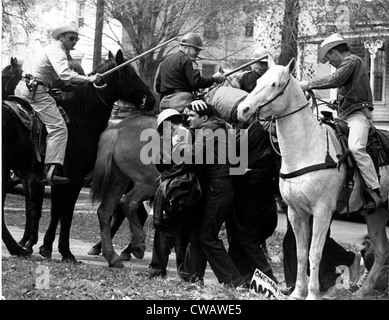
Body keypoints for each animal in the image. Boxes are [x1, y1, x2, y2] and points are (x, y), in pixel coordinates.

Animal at [2, 48, 156, 262]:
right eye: (130, 74)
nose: (151, 99)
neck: (80, 117)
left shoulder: (56, 179)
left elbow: (54, 212)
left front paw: (45, 247)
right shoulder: (68, 179)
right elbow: (60, 213)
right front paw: (59, 250)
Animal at [235, 57, 388, 300]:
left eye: (275, 84)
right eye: (258, 81)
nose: (243, 109)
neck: (306, 149)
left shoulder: (322, 211)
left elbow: (315, 252)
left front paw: (313, 293)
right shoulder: (295, 212)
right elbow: (300, 252)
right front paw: (298, 292)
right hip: (376, 213)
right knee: (382, 251)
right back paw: (362, 291)